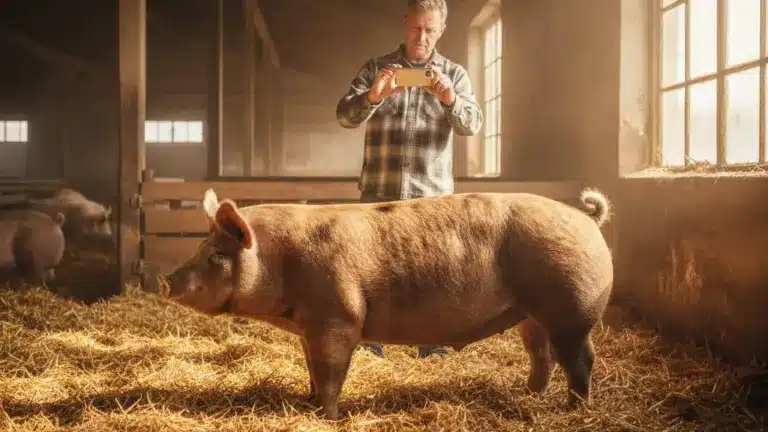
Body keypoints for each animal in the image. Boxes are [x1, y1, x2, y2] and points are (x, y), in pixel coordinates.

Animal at [161, 187, 614, 420]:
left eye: (217, 254)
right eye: (201, 246)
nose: (165, 281)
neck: (281, 261)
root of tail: (587, 219)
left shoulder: (338, 317)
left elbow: (330, 373)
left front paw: (328, 417)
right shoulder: (309, 328)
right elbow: (311, 369)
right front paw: (307, 402)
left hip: (573, 306)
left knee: (580, 358)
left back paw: (575, 410)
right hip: (532, 314)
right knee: (542, 354)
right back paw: (532, 396)